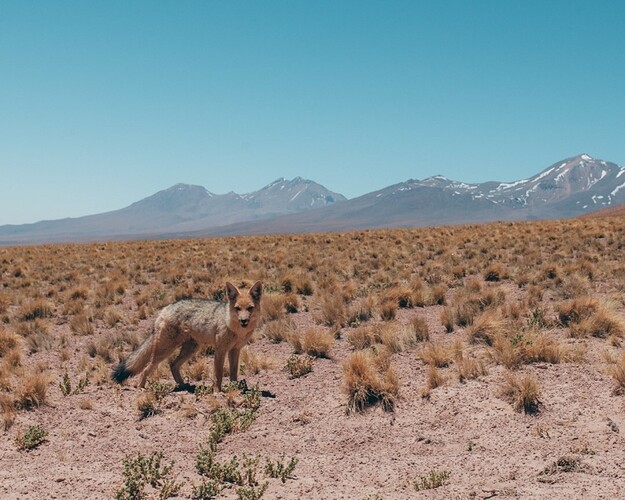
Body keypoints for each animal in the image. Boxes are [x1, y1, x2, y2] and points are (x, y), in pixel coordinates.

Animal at [112, 282, 260, 390]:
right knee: (147, 368)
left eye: (250, 308)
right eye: (237, 308)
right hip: (165, 350)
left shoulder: (235, 350)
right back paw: (141, 387)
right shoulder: (220, 350)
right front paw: (217, 391)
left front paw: (235, 389)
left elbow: (233, 372)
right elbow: (218, 373)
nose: (244, 321)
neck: (237, 330)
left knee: (173, 364)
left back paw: (183, 386)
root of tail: (165, 309)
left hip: (191, 349)